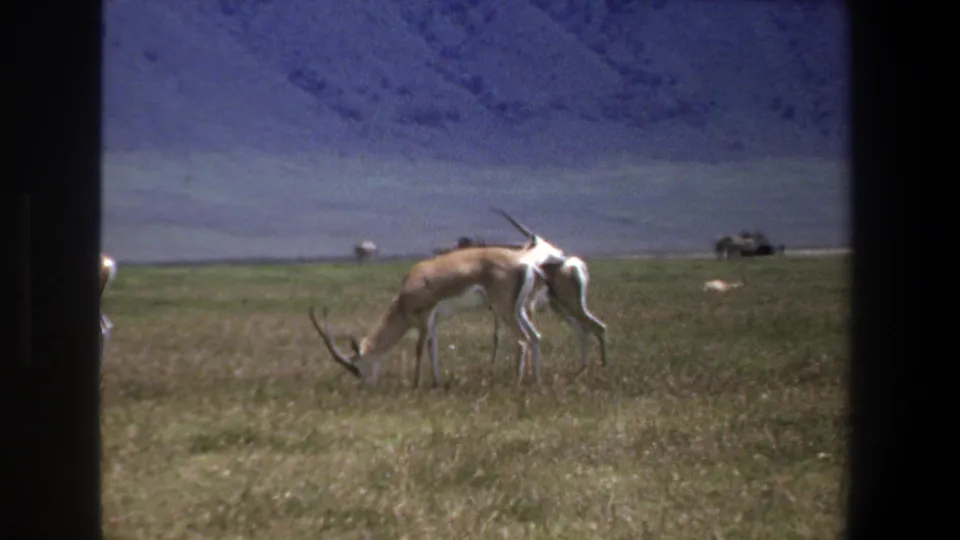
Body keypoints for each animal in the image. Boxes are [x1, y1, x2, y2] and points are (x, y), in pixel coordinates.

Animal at [308, 245, 550, 389]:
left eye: (357, 367)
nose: (366, 386)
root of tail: (525, 263)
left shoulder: (425, 318)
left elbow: (419, 348)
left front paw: (416, 385)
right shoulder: (434, 322)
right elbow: (433, 348)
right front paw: (436, 382)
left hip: (504, 309)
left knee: (522, 340)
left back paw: (518, 382)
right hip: (518, 309)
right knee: (535, 336)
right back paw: (536, 382)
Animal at [424, 209, 607, 385]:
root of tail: (575, 264)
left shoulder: (520, 307)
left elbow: (515, 337)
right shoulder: (504, 309)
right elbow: (500, 336)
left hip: (570, 305)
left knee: (597, 327)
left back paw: (599, 369)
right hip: (561, 307)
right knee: (584, 330)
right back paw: (583, 370)